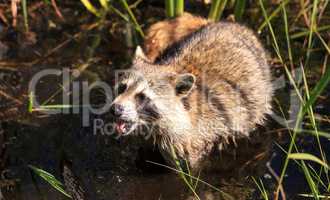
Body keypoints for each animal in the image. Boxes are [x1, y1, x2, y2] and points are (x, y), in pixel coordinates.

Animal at [109, 16, 272, 172]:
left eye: (142, 97)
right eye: (122, 88)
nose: (115, 109)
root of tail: (234, 24)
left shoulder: (195, 140)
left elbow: (188, 171)